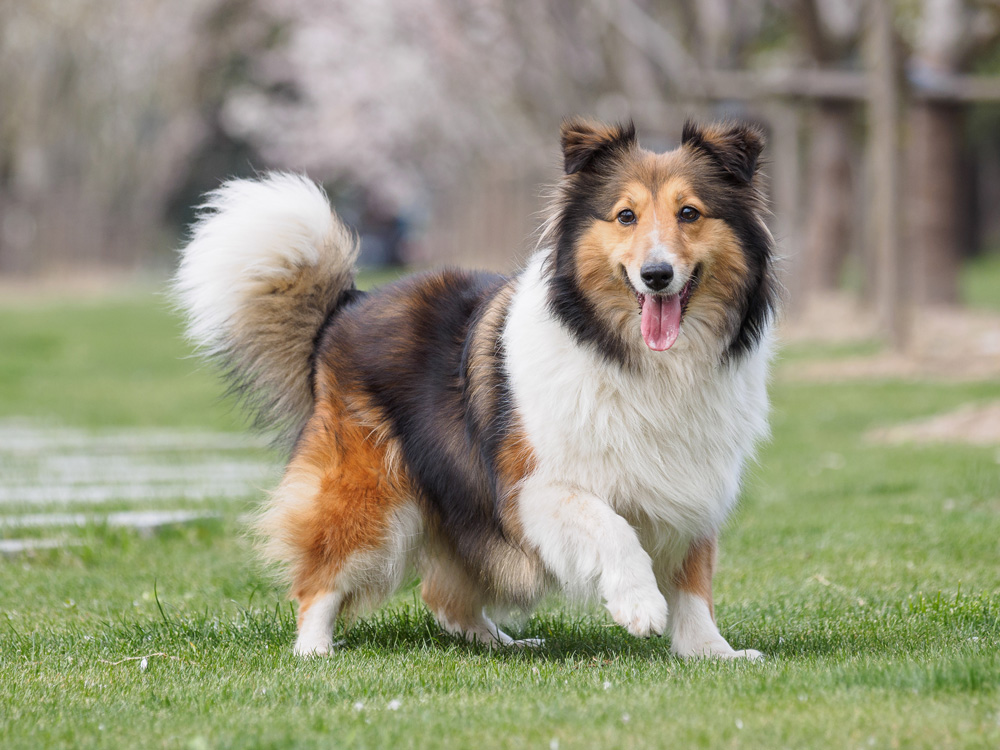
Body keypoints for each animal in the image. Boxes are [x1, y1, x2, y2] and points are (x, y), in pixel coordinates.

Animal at [176, 117, 776, 656]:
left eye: (689, 213)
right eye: (625, 216)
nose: (657, 275)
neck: (632, 356)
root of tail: (346, 307)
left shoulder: (690, 485)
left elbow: (693, 584)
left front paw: (713, 653)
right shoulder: (534, 488)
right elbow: (612, 527)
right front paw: (639, 603)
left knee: (444, 596)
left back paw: (502, 641)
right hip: (370, 495)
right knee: (319, 579)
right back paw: (314, 650)